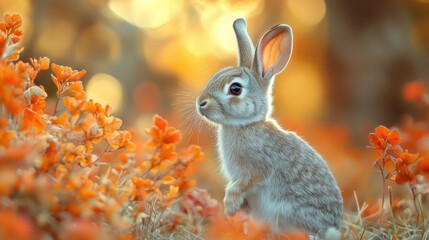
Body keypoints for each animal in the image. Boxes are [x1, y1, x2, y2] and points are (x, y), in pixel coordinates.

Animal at [196, 18, 342, 238]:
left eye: (235, 89)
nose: (201, 103)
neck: (246, 124)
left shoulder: (257, 168)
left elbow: (244, 184)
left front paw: (230, 204)